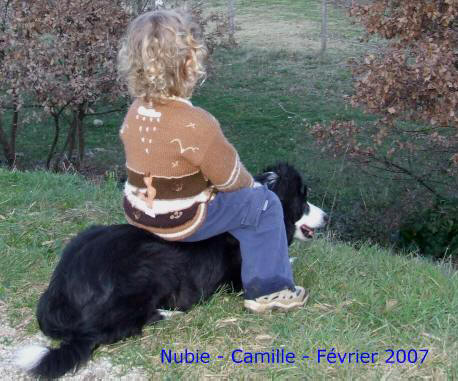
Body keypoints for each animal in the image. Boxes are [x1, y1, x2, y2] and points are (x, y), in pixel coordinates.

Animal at [15, 163, 330, 378]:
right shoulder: (240, 280)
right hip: (152, 265)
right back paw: (169, 314)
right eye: (303, 201)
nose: (327, 216)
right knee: (120, 327)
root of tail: (60, 297)